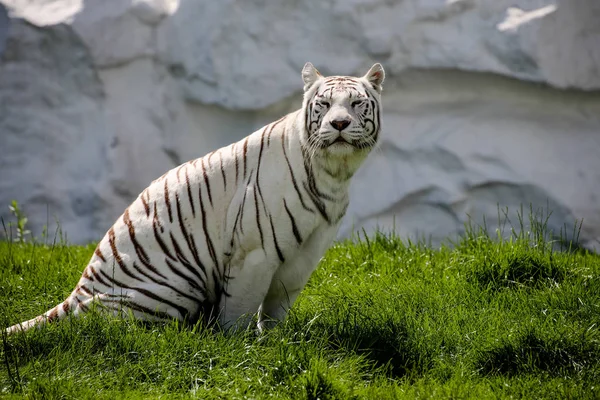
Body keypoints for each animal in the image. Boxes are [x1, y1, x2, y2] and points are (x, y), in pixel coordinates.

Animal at [5, 61, 384, 332]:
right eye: (324, 105)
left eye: (355, 104)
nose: (338, 124)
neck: (334, 173)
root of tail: (81, 288)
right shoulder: (254, 252)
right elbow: (240, 311)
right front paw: (242, 347)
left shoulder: (305, 254)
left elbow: (277, 307)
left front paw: (276, 341)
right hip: (174, 286)